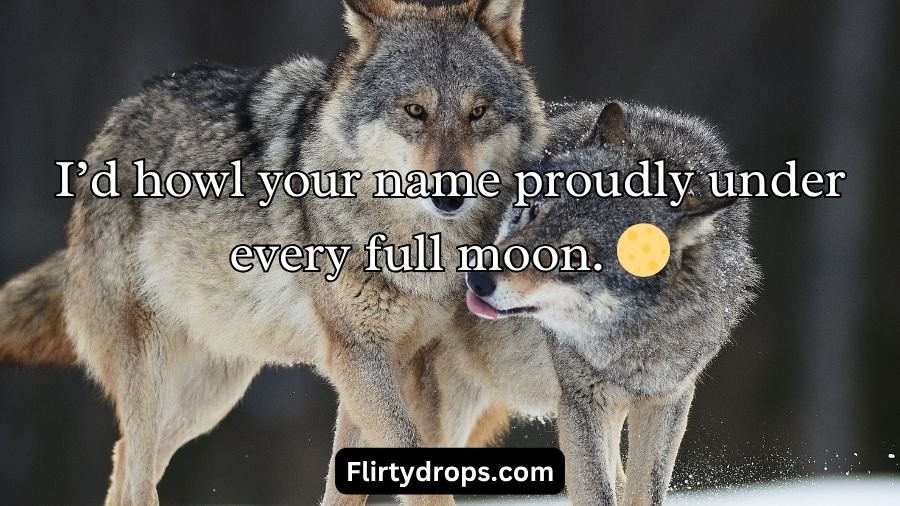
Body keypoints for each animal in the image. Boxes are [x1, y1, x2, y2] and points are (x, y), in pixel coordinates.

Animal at [0, 1, 547, 504]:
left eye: (478, 113)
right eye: (415, 111)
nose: (452, 194)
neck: (417, 245)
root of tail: (116, 119)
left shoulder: (376, 364)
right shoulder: (358, 355)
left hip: (211, 395)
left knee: (126, 461)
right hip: (152, 375)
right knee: (135, 476)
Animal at [415, 101, 761, 505]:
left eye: (576, 253)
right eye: (534, 211)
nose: (477, 278)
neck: (636, 338)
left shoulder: (666, 400)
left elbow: (643, 492)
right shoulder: (582, 402)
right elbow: (598, 492)